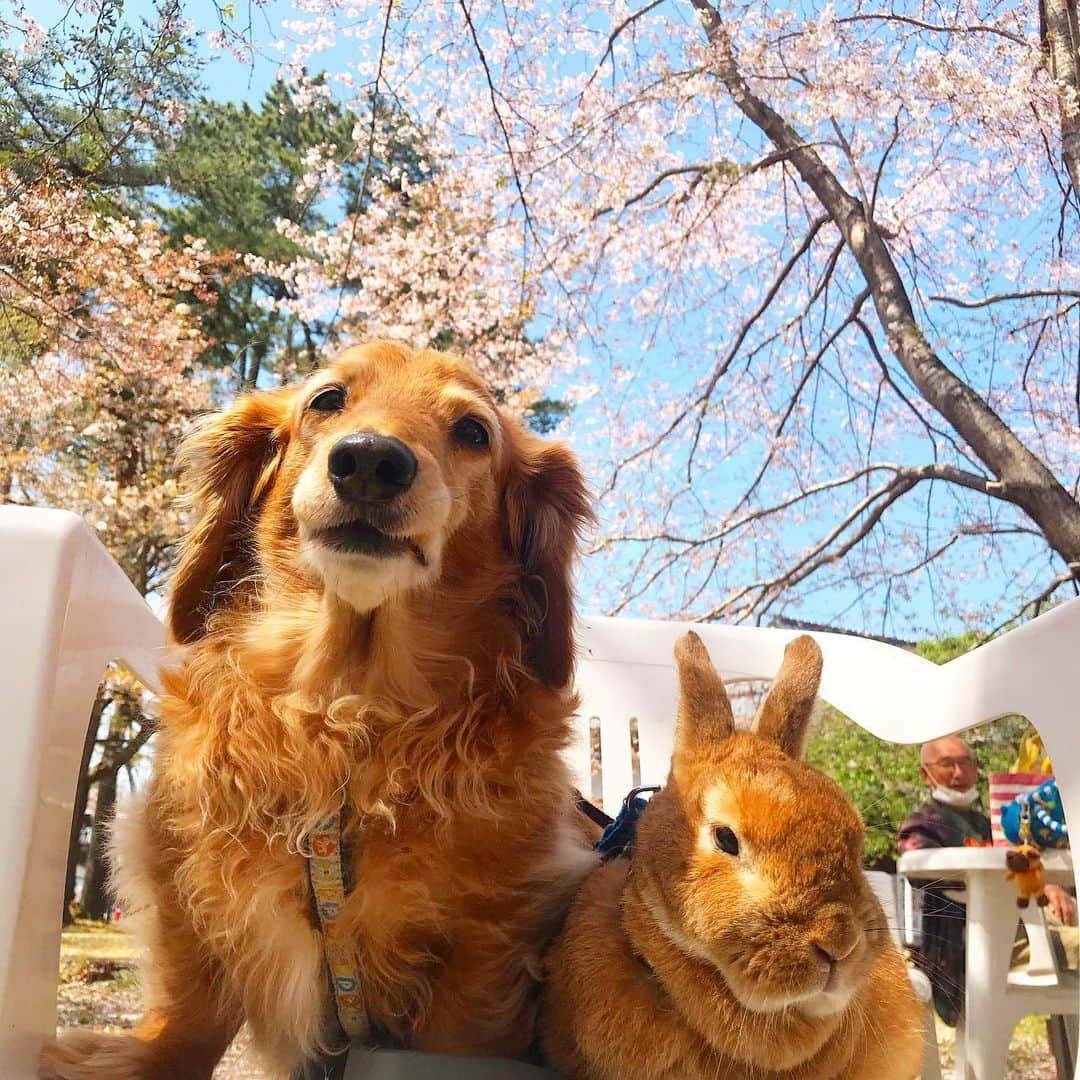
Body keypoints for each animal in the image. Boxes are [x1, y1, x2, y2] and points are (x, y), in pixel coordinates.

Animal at [42, 343, 596, 1080]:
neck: (344, 713)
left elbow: (458, 1027)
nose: (370, 461)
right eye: (327, 399)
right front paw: (145, 1057)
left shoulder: (492, 933)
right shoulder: (180, 857)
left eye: (474, 432)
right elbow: (190, 1002)